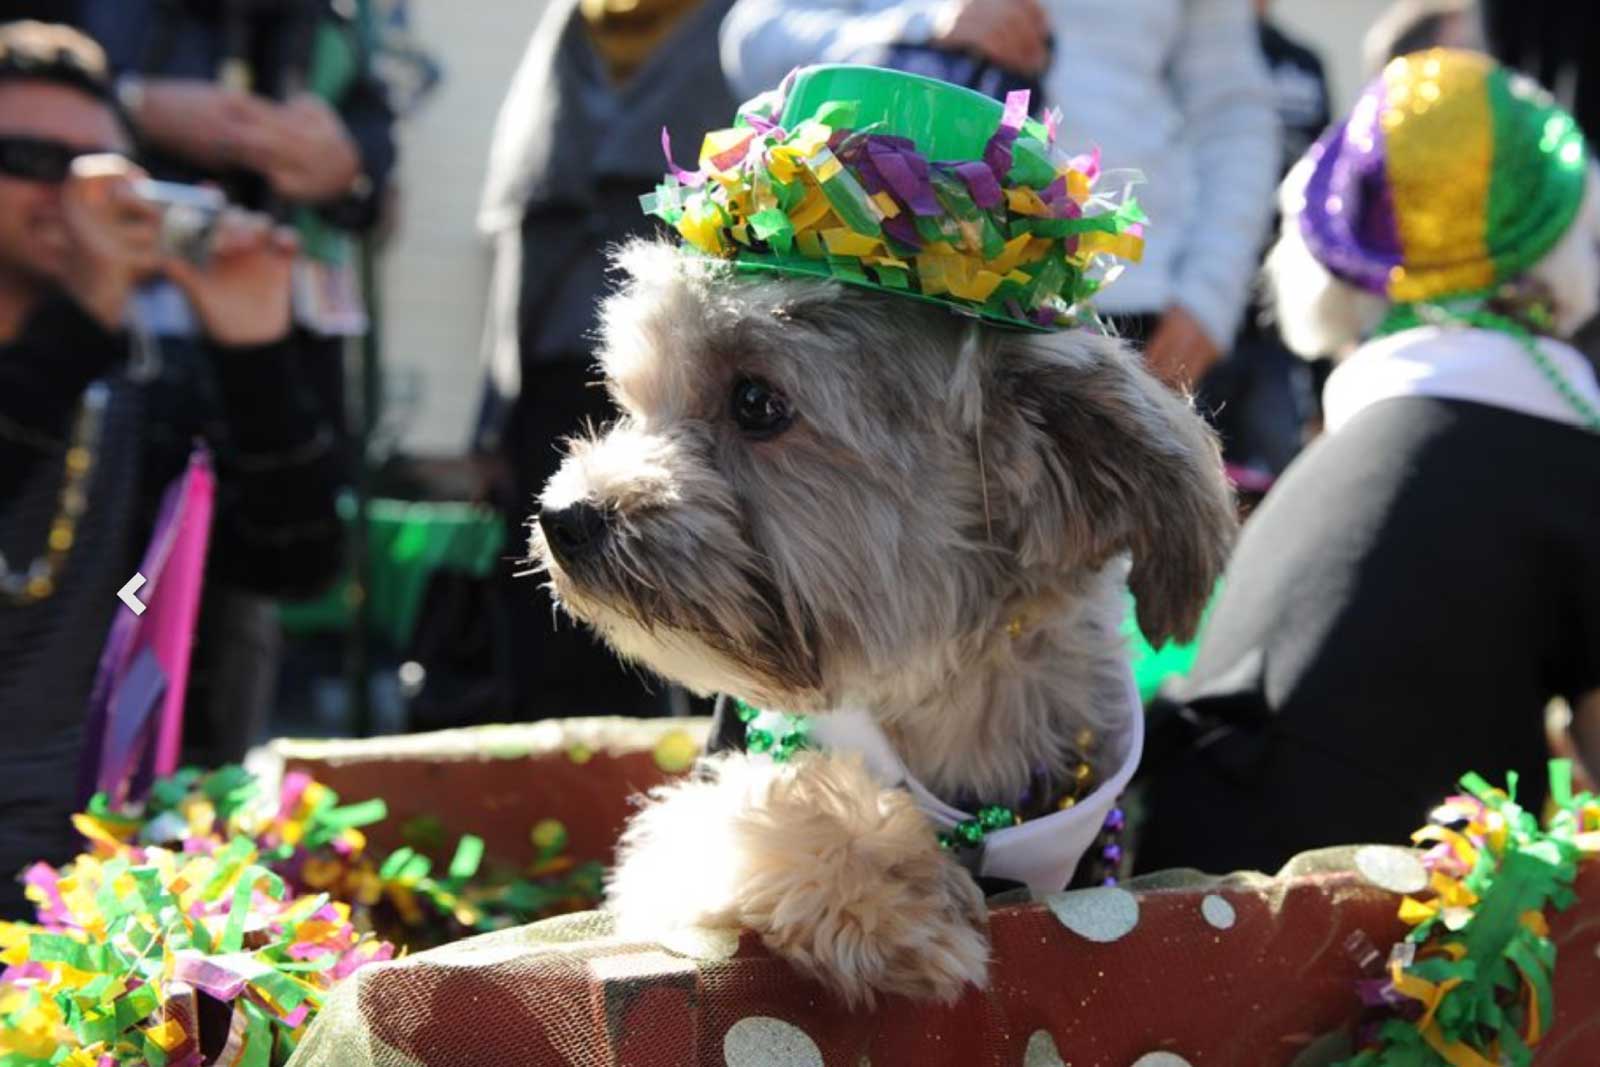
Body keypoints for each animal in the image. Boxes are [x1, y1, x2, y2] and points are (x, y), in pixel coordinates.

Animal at [528, 239, 1235, 1011]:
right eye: (630, 398)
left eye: (756, 402)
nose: (563, 516)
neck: (948, 696)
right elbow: (737, 815)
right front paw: (894, 888)